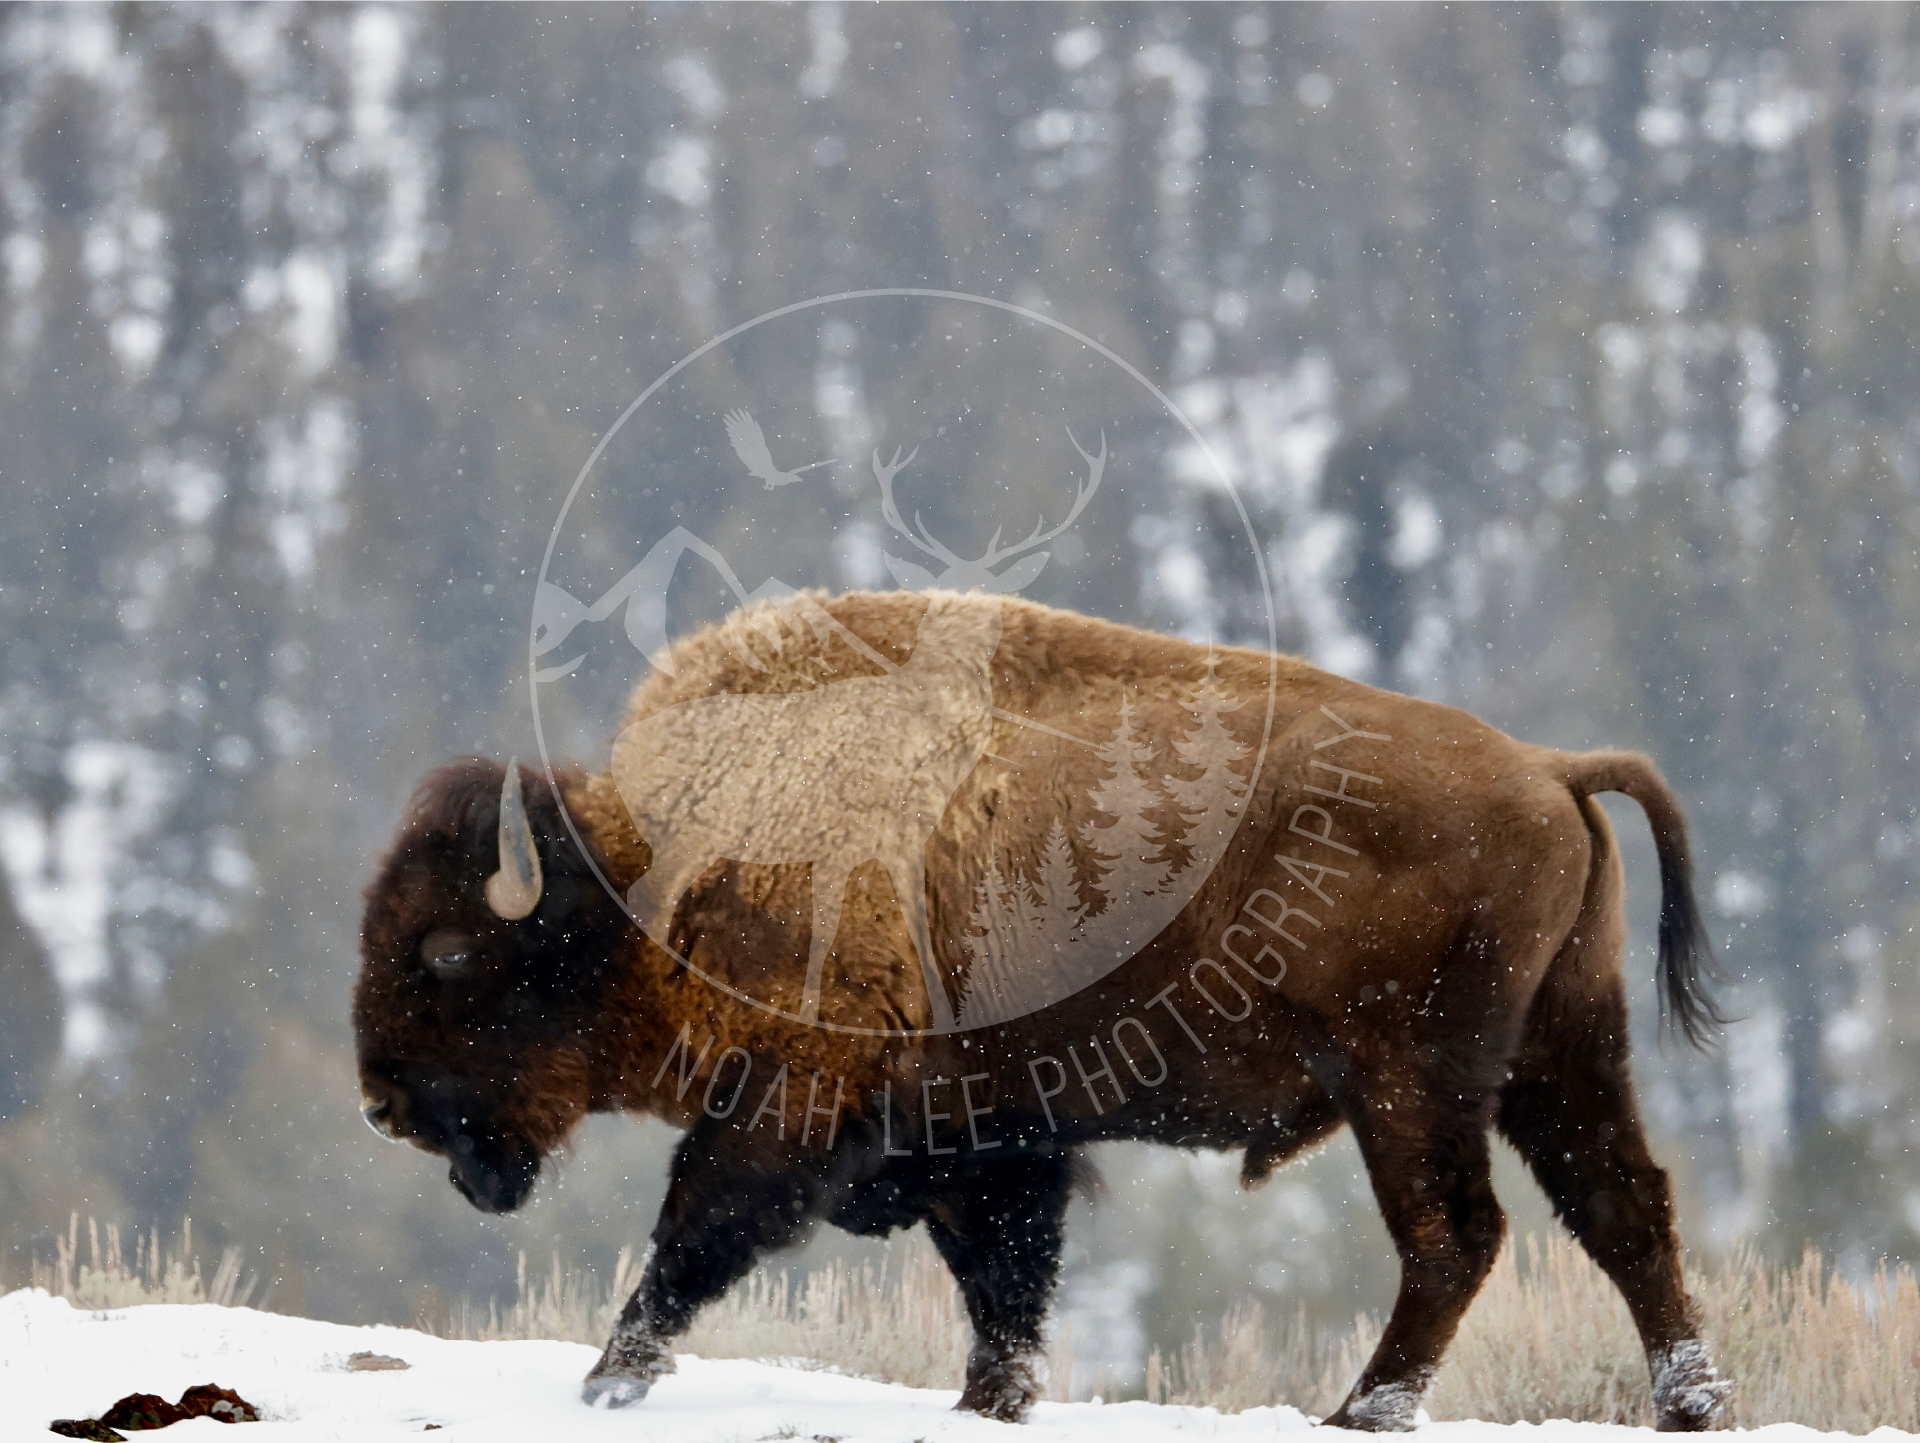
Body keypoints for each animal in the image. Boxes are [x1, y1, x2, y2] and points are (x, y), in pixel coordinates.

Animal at [354, 587, 1730, 1428]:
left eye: (450, 952)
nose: (379, 1106)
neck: (677, 867)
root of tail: (1549, 768)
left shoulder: (792, 1112)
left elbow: (692, 1237)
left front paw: (605, 1386)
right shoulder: (989, 1139)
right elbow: (1004, 1283)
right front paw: (990, 1406)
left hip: (1411, 1085)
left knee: (1456, 1236)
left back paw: (1361, 1414)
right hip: (1560, 1056)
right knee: (1623, 1209)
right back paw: (1690, 1407)